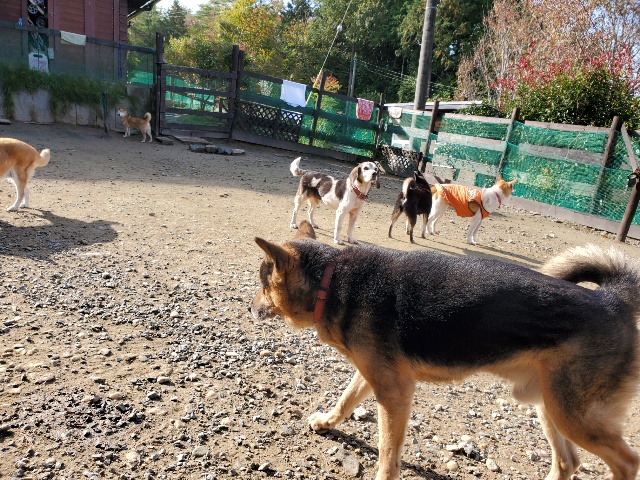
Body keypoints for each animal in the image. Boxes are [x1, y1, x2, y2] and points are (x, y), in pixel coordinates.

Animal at [250, 229, 640, 480]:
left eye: (262, 285)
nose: (249, 308)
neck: (331, 281)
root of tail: (612, 299)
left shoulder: (395, 393)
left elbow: (388, 456)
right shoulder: (376, 376)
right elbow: (346, 400)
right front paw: (326, 422)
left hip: (574, 416)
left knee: (626, 464)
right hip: (551, 405)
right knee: (567, 463)